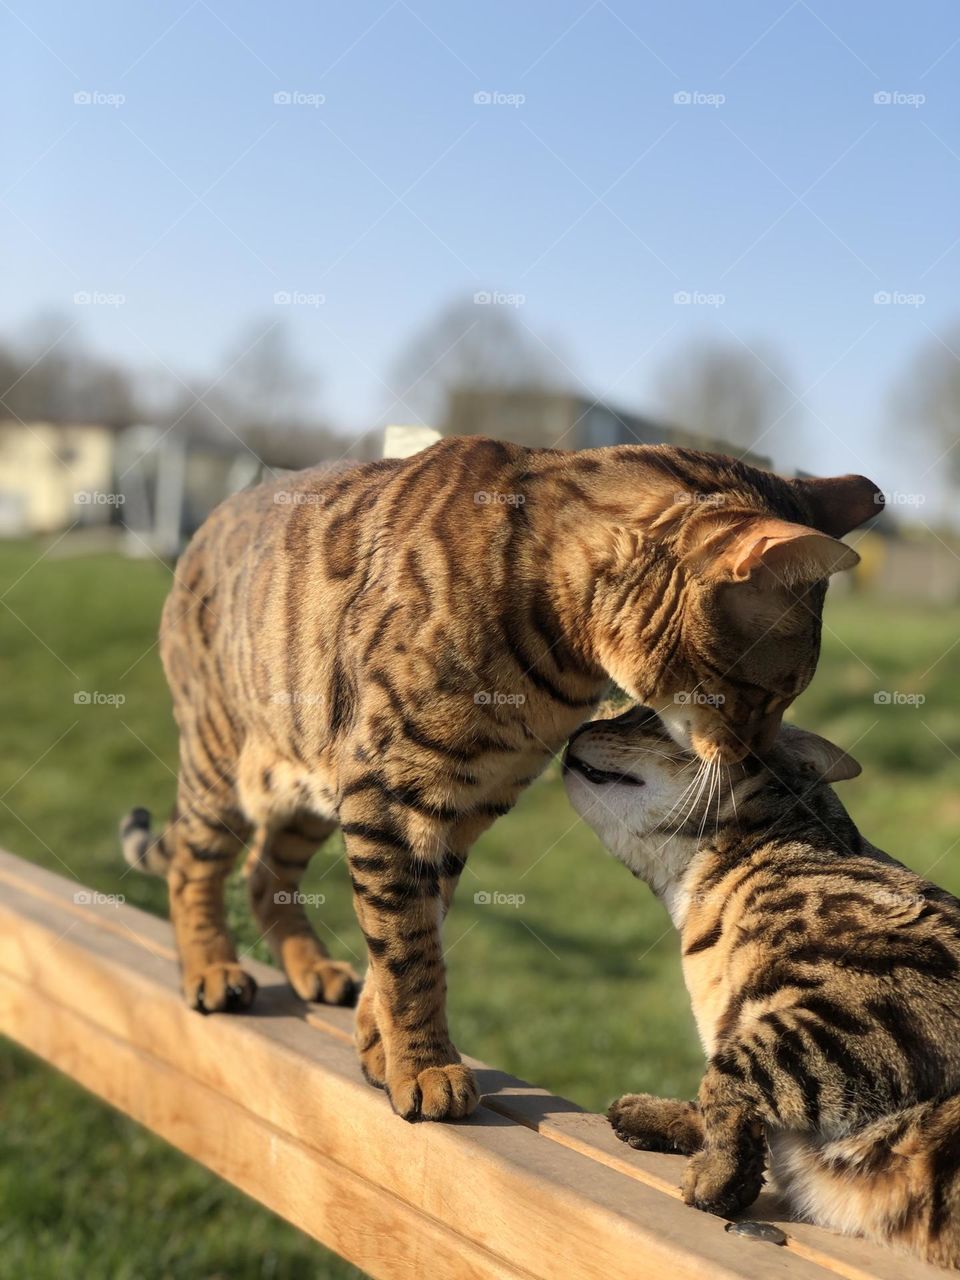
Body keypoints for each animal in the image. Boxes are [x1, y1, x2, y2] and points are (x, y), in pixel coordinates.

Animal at [124, 437, 885, 1121]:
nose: (755, 757)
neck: (559, 656)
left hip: (307, 789)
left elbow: (416, 931)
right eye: (766, 695)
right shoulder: (389, 791)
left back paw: (311, 967)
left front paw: (381, 1045)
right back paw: (211, 970)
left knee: (263, 874)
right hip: (222, 762)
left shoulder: (465, 805)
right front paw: (424, 1065)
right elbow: (406, 946)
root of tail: (206, 524)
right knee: (194, 865)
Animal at [568, 706, 960, 1264]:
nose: (577, 727)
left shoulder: (881, 1003)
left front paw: (719, 1175)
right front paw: (663, 1118)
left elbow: (732, 1068)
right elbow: (723, 1081)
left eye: (643, 715)